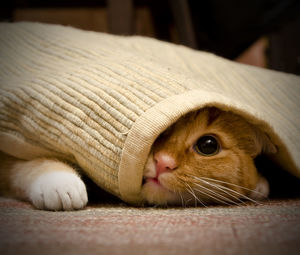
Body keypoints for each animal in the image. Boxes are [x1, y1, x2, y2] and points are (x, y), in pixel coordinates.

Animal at [0, 106, 276, 210]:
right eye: (161, 132)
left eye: (207, 145)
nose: (163, 163)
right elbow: (33, 164)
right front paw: (60, 183)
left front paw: (259, 184)